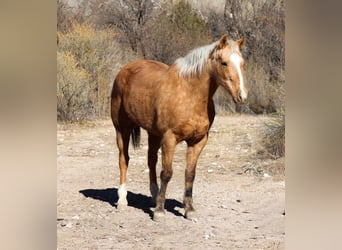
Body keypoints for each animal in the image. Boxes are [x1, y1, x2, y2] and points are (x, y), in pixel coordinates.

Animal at [111, 33, 247, 221]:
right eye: (224, 63)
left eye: (242, 63)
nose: (242, 96)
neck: (190, 94)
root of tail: (124, 70)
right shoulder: (170, 138)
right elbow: (167, 173)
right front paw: (159, 211)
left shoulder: (198, 141)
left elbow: (190, 174)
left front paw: (189, 209)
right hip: (122, 129)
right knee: (124, 160)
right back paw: (122, 200)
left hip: (153, 134)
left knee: (151, 161)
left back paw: (154, 196)